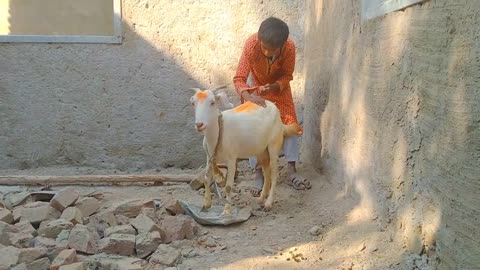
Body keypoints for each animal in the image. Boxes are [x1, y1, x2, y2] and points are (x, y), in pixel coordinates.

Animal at [190, 87, 300, 215]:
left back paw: (268, 203)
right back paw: (261, 198)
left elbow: (228, 186)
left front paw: (226, 211)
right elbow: (207, 179)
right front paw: (206, 204)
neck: (218, 133)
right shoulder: (209, 157)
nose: (199, 124)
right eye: (193, 103)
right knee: (267, 172)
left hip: (274, 144)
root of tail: (273, 107)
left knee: (274, 173)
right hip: (261, 150)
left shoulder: (231, 158)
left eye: (212, 102)